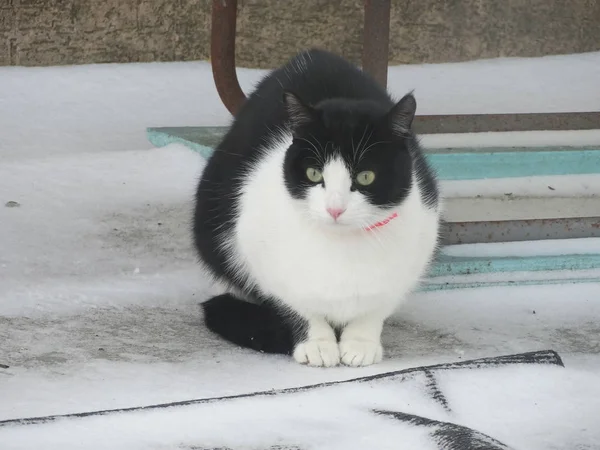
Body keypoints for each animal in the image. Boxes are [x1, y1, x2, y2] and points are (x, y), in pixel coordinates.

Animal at [193, 48, 440, 366]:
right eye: (313, 173)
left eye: (366, 176)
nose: (335, 208)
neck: (342, 248)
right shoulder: (257, 251)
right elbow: (294, 304)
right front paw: (317, 343)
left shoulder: (417, 246)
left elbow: (377, 307)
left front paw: (361, 342)